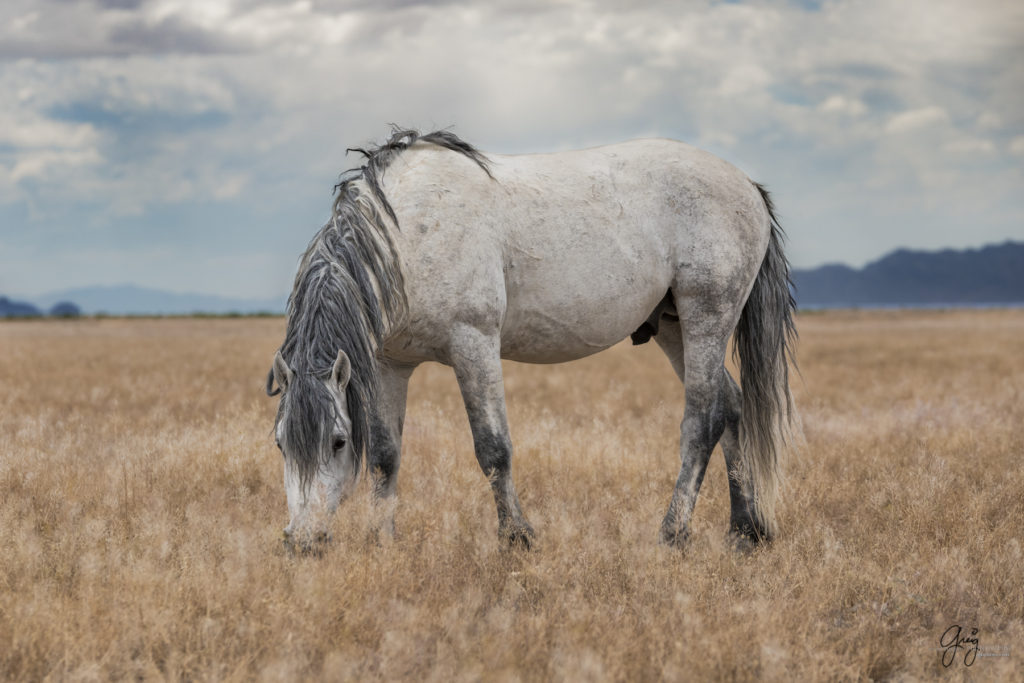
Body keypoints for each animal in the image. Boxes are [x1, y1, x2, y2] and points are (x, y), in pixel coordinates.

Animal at [268, 129, 794, 557]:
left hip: (708, 316)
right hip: (672, 326)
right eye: (280, 443)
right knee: (731, 406)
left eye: (337, 441)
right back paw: (745, 531)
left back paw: (673, 534)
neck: (407, 233)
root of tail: (746, 184)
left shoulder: (473, 344)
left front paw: (517, 538)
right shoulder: (388, 364)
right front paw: (382, 541)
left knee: (703, 420)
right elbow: (384, 457)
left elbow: (493, 448)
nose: (301, 542)